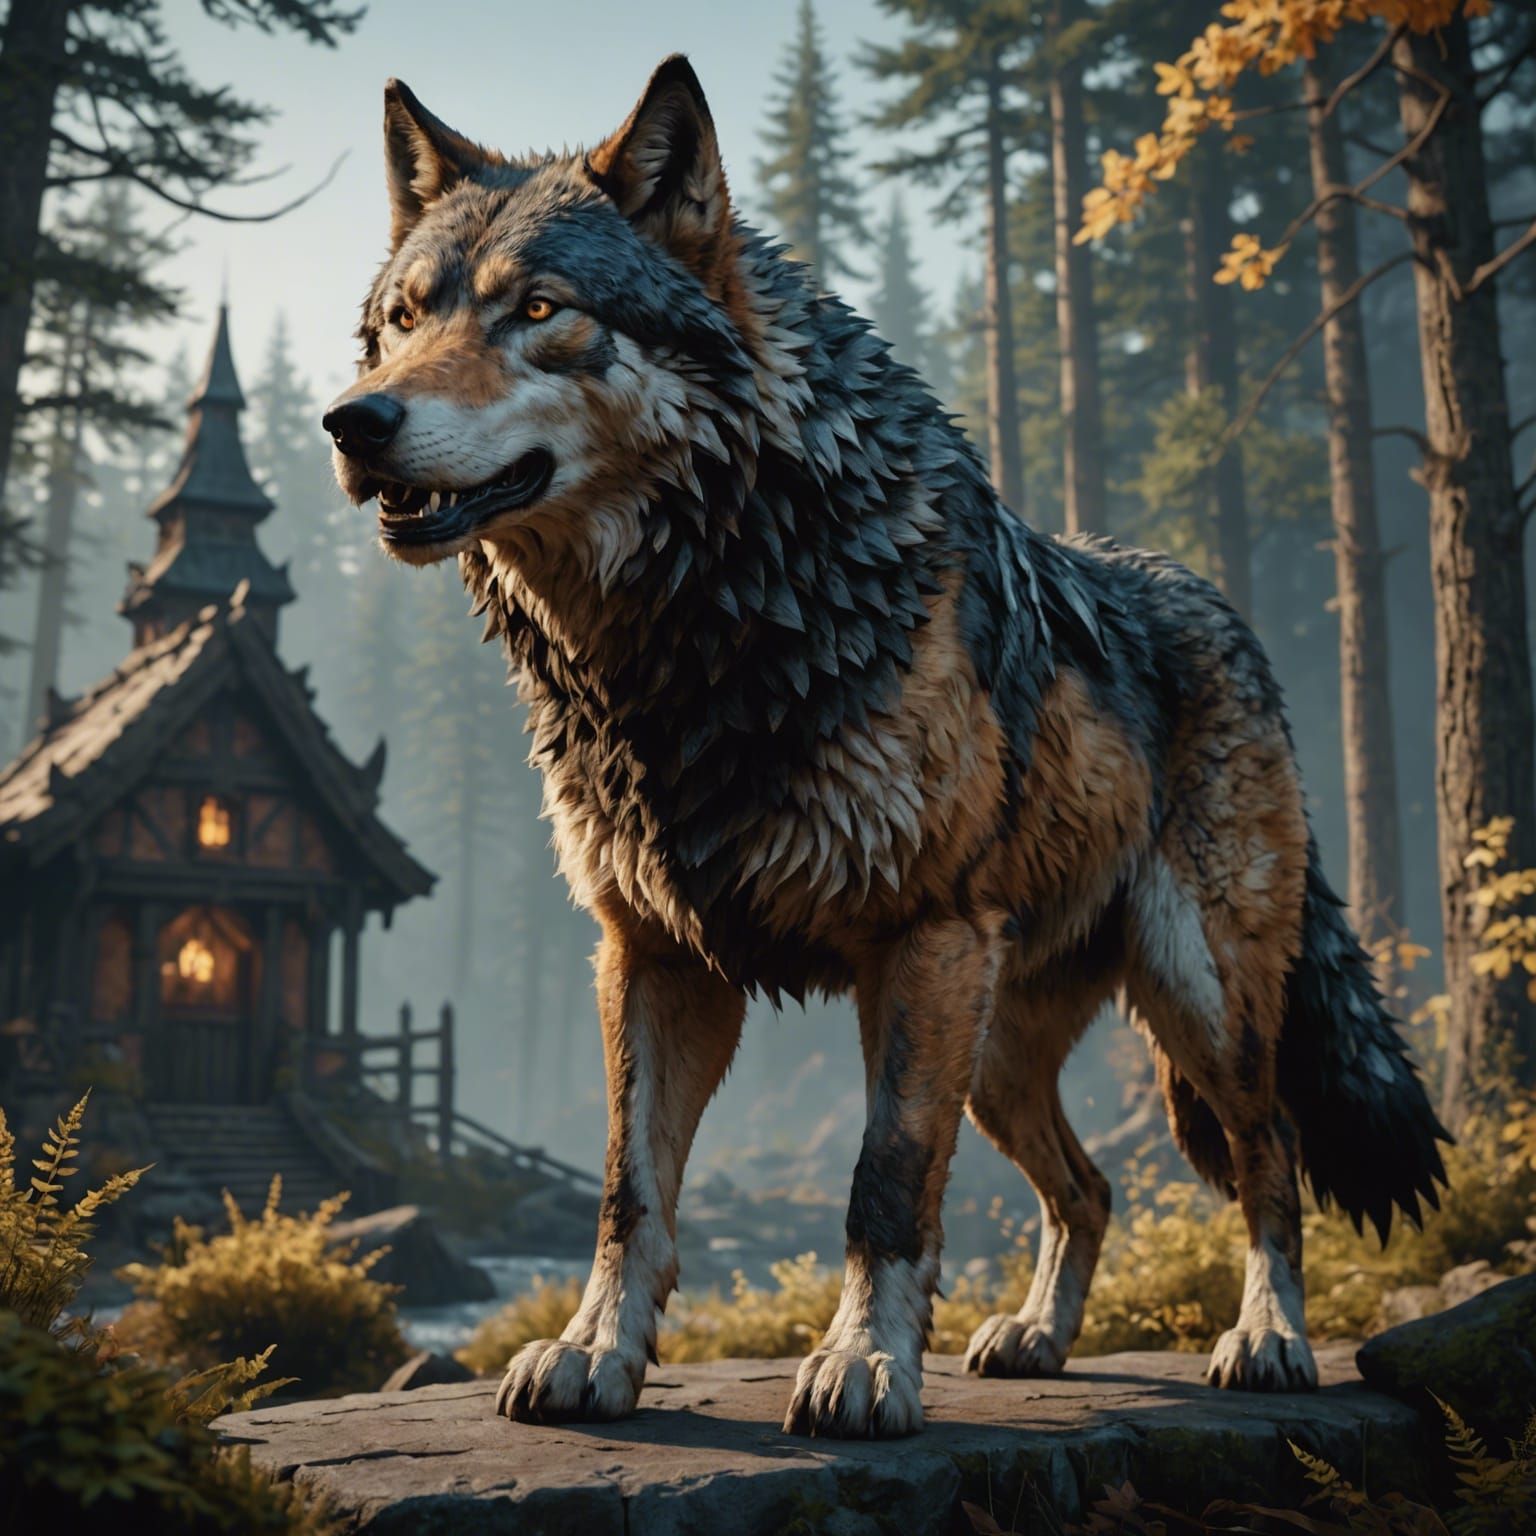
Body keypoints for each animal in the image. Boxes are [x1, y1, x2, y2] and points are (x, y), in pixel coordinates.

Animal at [323, 57, 1448, 1439]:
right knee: (1088, 1187)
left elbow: (884, 1185)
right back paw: (1035, 1337)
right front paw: (594, 1357)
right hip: (1000, 1052)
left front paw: (861, 1366)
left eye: (538, 309)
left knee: (1268, 1158)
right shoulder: (649, 953)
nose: (353, 422)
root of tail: (1222, 611)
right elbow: (629, 1192)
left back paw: (1268, 1339)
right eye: (402, 318)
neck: (697, 646)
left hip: (1195, 1002)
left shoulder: (919, 941)